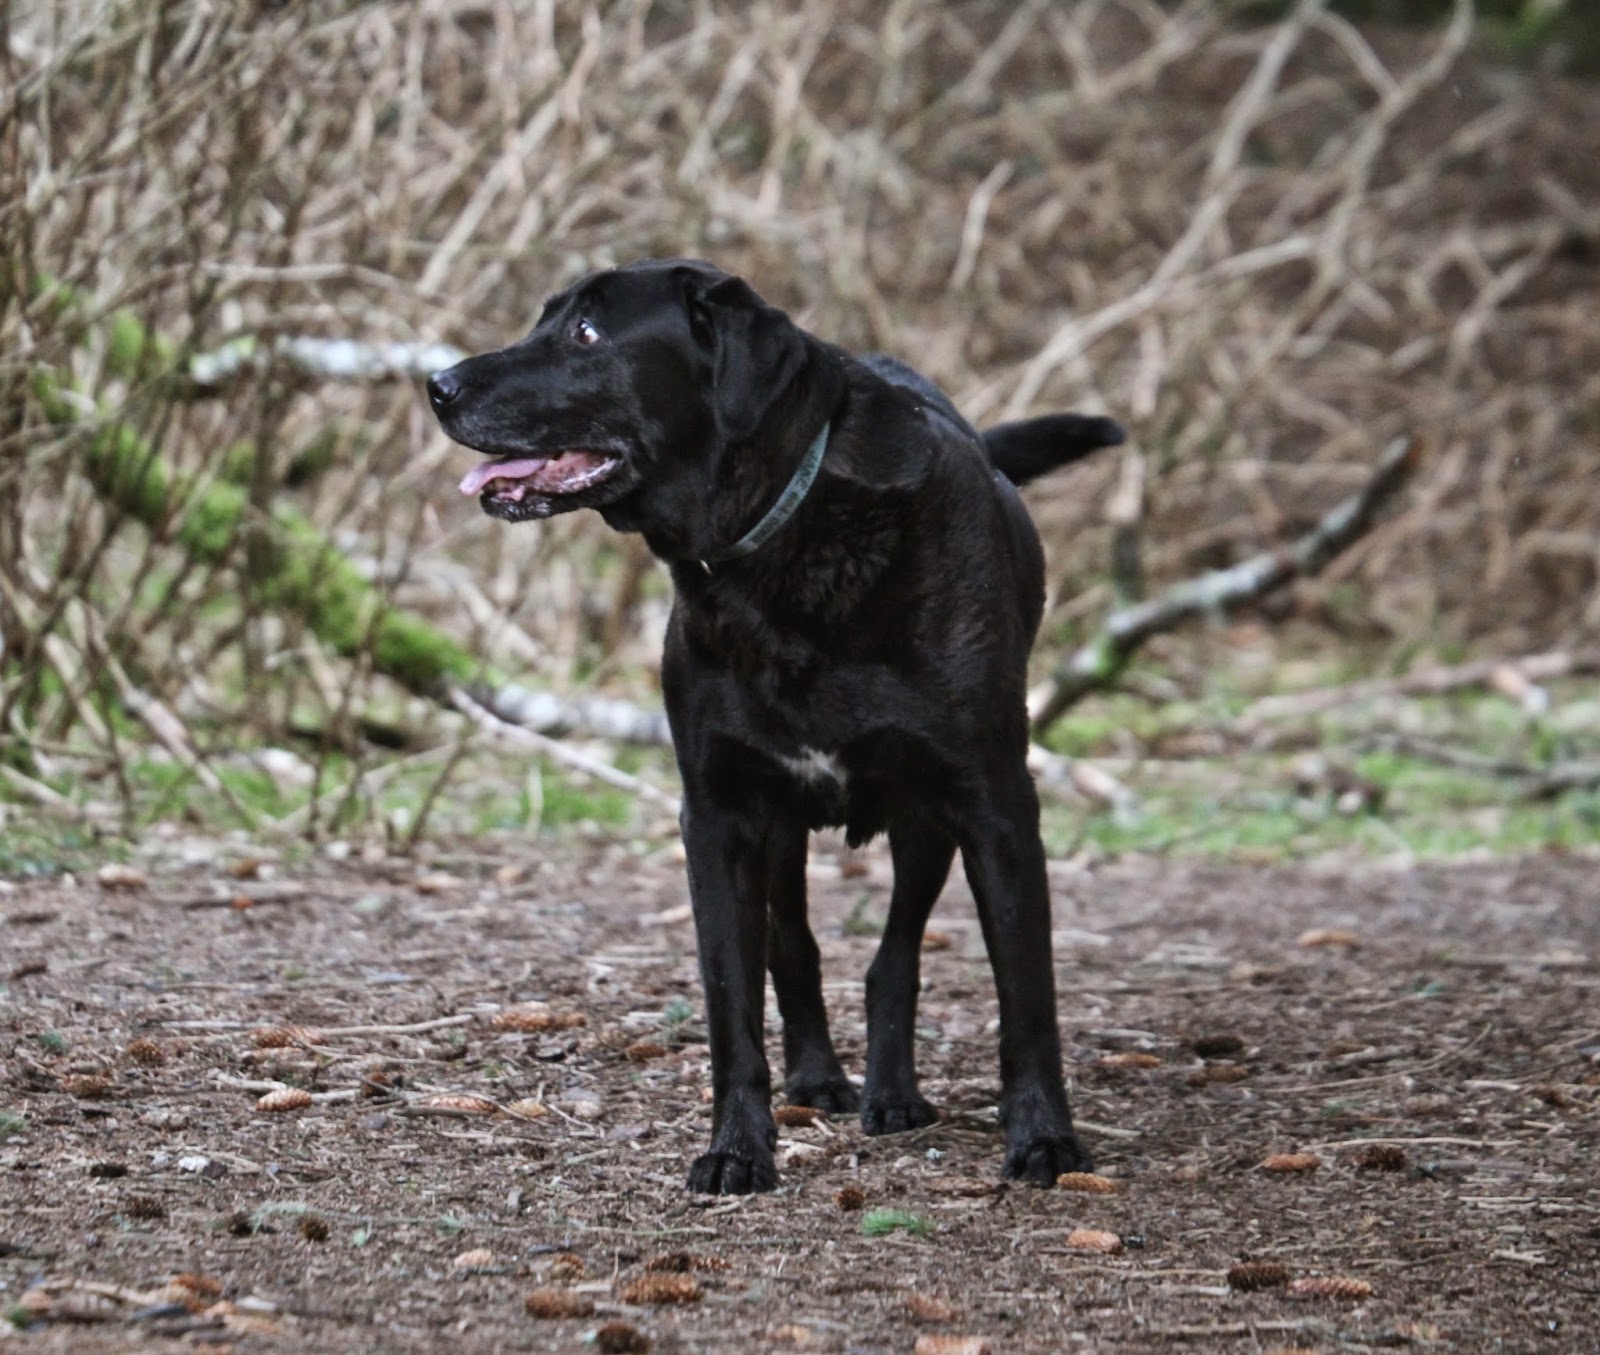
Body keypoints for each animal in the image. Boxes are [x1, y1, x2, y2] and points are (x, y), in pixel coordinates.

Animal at [428, 258, 1123, 1193]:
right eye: (547, 318)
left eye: (587, 332)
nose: (437, 384)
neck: (785, 535)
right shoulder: (718, 814)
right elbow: (733, 1001)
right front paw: (736, 1146)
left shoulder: (996, 805)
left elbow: (1027, 993)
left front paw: (1045, 1137)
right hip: (784, 828)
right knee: (795, 946)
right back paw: (821, 1077)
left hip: (924, 819)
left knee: (894, 954)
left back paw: (893, 1094)